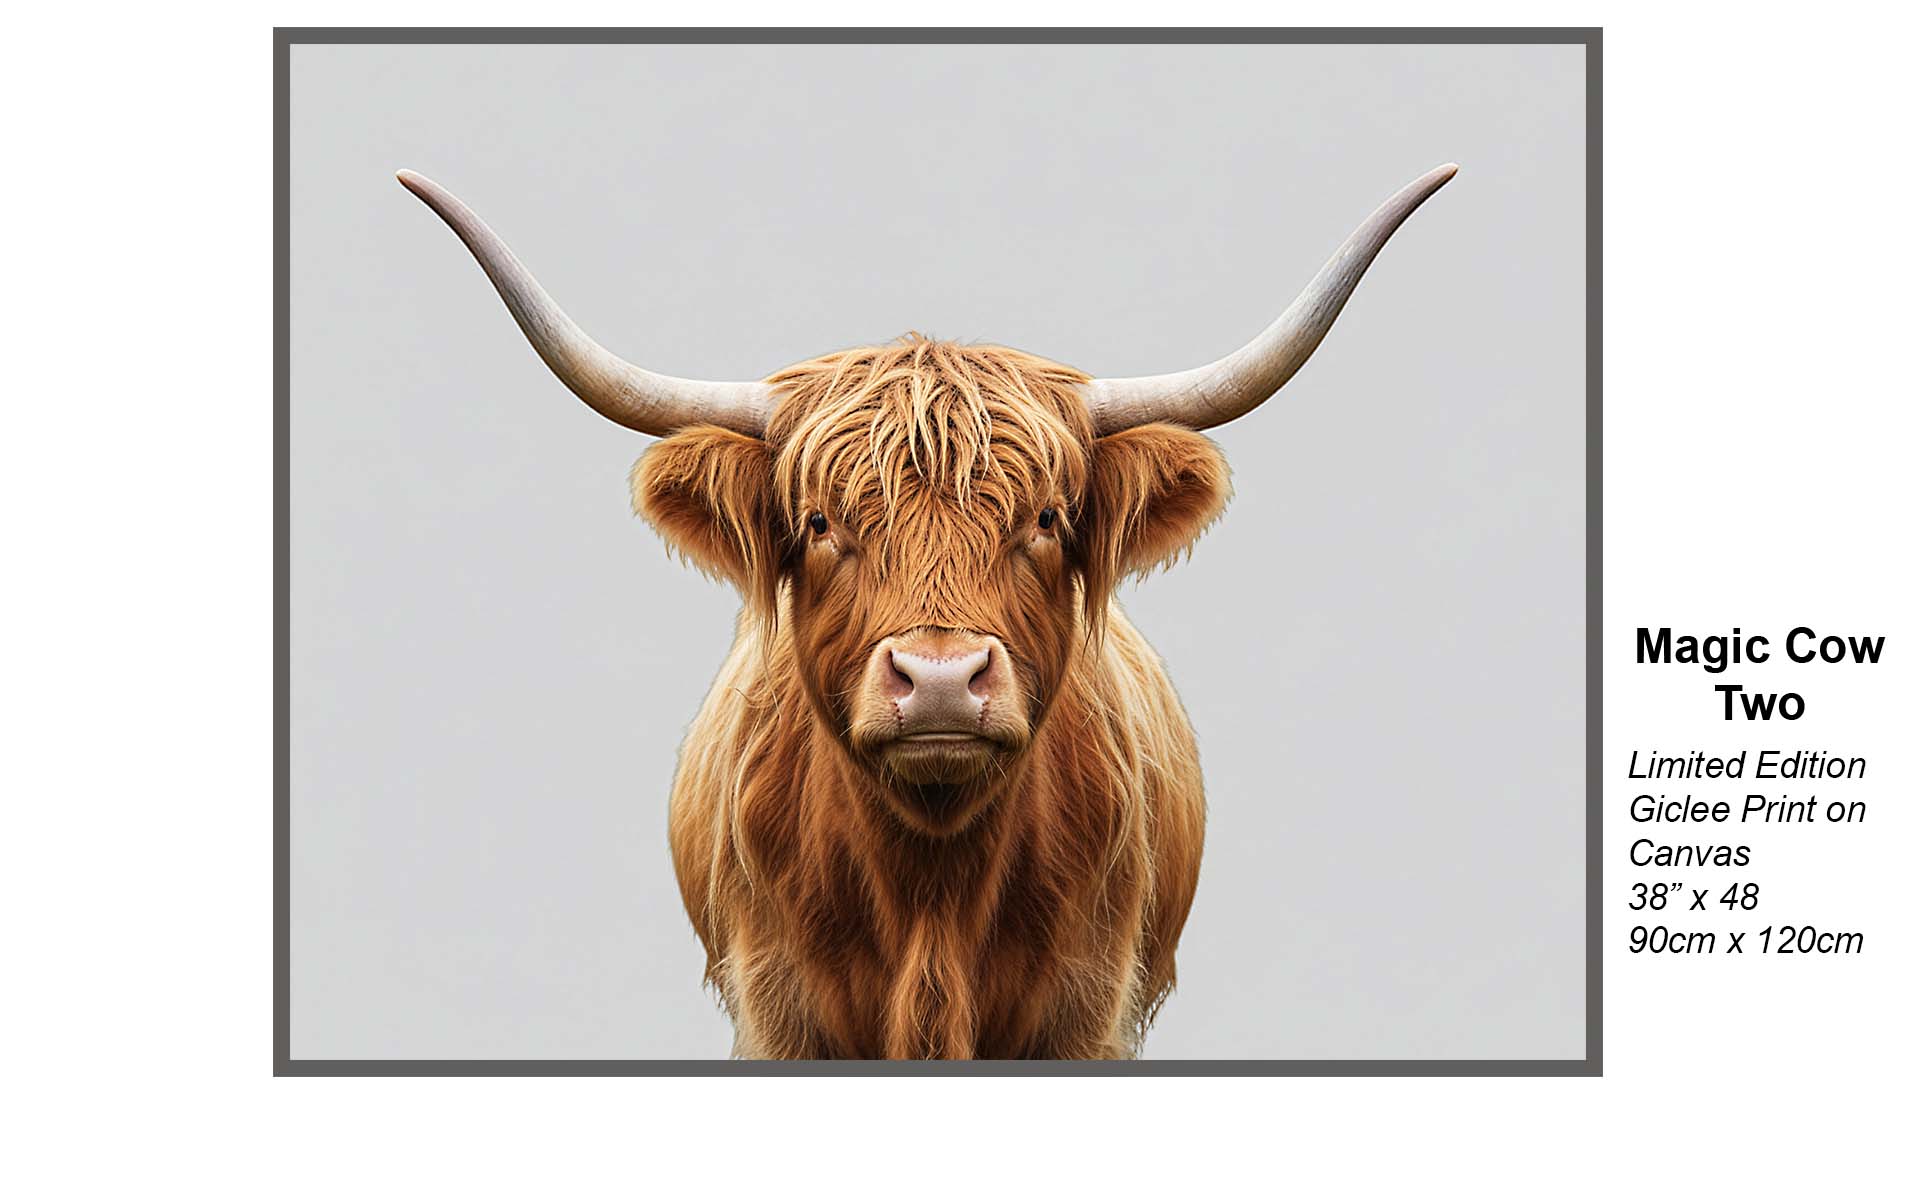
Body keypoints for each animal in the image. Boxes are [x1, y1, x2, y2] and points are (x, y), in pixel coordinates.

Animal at [398, 164, 1455, 1059]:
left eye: (1047, 518)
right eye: (819, 522)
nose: (942, 681)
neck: (933, 899)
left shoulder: (1088, 1011)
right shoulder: (777, 1012)